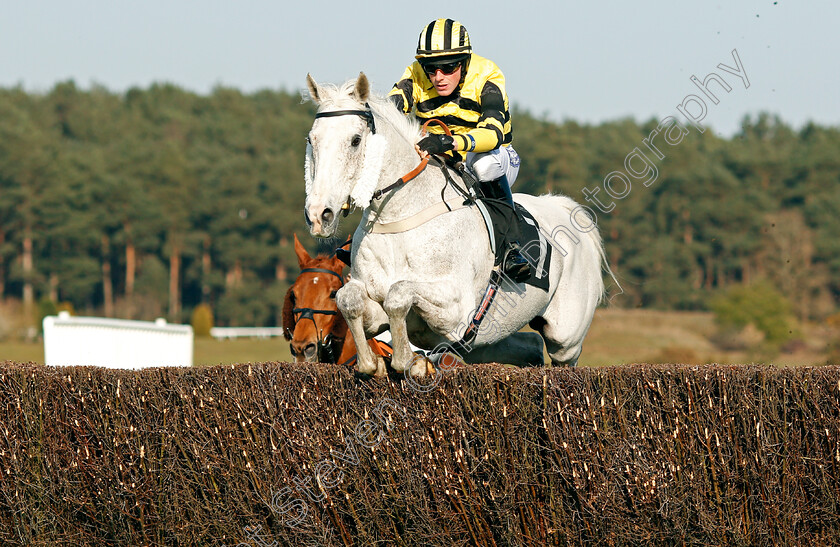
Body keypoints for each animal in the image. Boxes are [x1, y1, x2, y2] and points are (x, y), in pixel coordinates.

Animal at [302, 75, 612, 378]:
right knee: (531, 346)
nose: (319, 215)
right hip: (488, 340)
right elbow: (349, 299)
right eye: (311, 139)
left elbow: (398, 294)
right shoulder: (372, 300)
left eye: (355, 140)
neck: (398, 218)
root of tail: (562, 207)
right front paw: (373, 363)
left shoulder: (455, 309)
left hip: (566, 338)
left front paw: (407, 361)